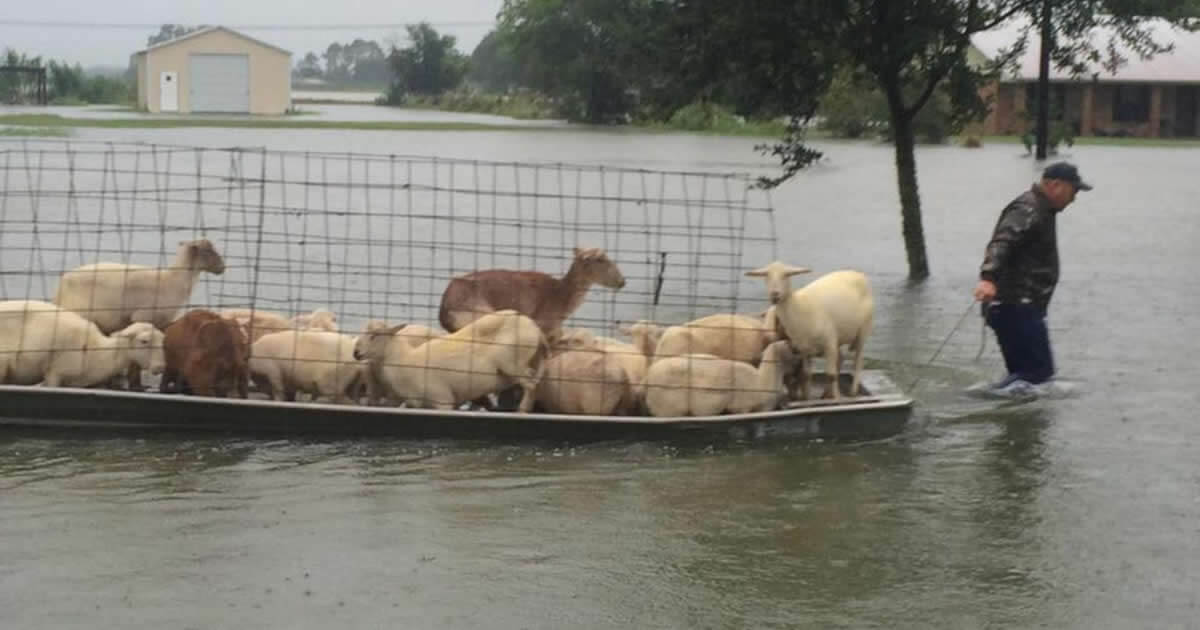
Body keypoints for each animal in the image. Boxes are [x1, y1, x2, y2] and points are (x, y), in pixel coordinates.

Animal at [350, 309, 549, 412]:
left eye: (375, 335)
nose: (356, 353)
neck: (406, 358)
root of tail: (534, 327)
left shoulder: (442, 400)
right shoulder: (421, 403)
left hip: (511, 362)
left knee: (531, 385)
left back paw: (523, 409)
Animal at [739, 262, 873, 400]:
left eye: (786, 275)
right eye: (766, 276)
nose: (774, 294)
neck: (799, 306)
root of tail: (857, 274)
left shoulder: (829, 342)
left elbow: (831, 374)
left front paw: (836, 398)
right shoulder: (804, 349)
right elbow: (806, 375)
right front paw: (807, 398)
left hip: (863, 330)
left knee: (857, 361)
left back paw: (852, 391)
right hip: (838, 338)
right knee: (841, 358)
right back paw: (825, 393)